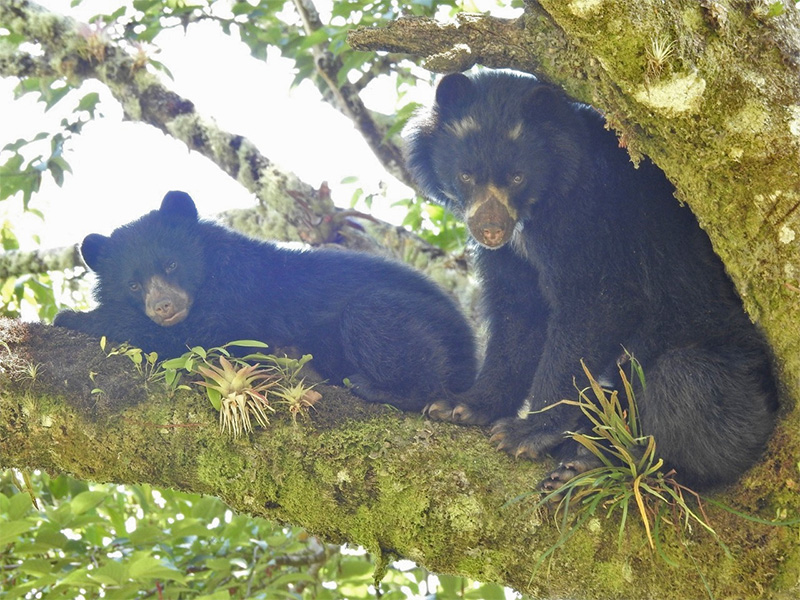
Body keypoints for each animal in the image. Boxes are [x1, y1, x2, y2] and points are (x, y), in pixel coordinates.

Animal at [54, 191, 477, 411]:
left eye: (171, 263)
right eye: (133, 285)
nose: (164, 307)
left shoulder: (237, 287)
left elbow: (202, 339)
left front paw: (72, 316)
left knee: (373, 316)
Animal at [404, 69, 778, 490]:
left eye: (517, 177)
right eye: (465, 175)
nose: (491, 230)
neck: (538, 209)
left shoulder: (590, 217)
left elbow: (594, 304)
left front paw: (526, 433)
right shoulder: (514, 256)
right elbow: (520, 314)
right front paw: (461, 405)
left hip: (735, 372)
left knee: (685, 384)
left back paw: (602, 464)